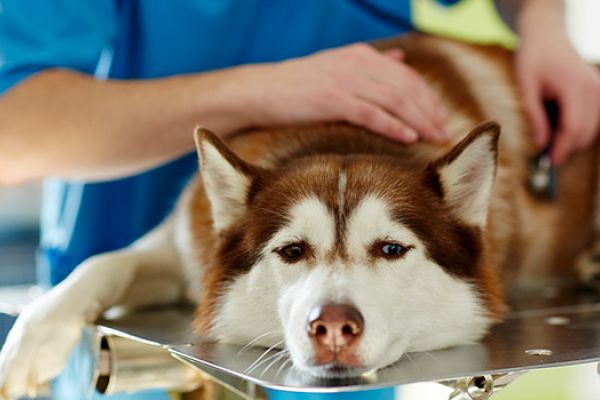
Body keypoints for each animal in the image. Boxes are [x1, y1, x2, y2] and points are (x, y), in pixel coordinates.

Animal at [1, 35, 600, 396]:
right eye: (291, 251)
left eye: (391, 249)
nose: (332, 325)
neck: (341, 134)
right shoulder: (183, 245)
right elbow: (103, 264)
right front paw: (27, 345)